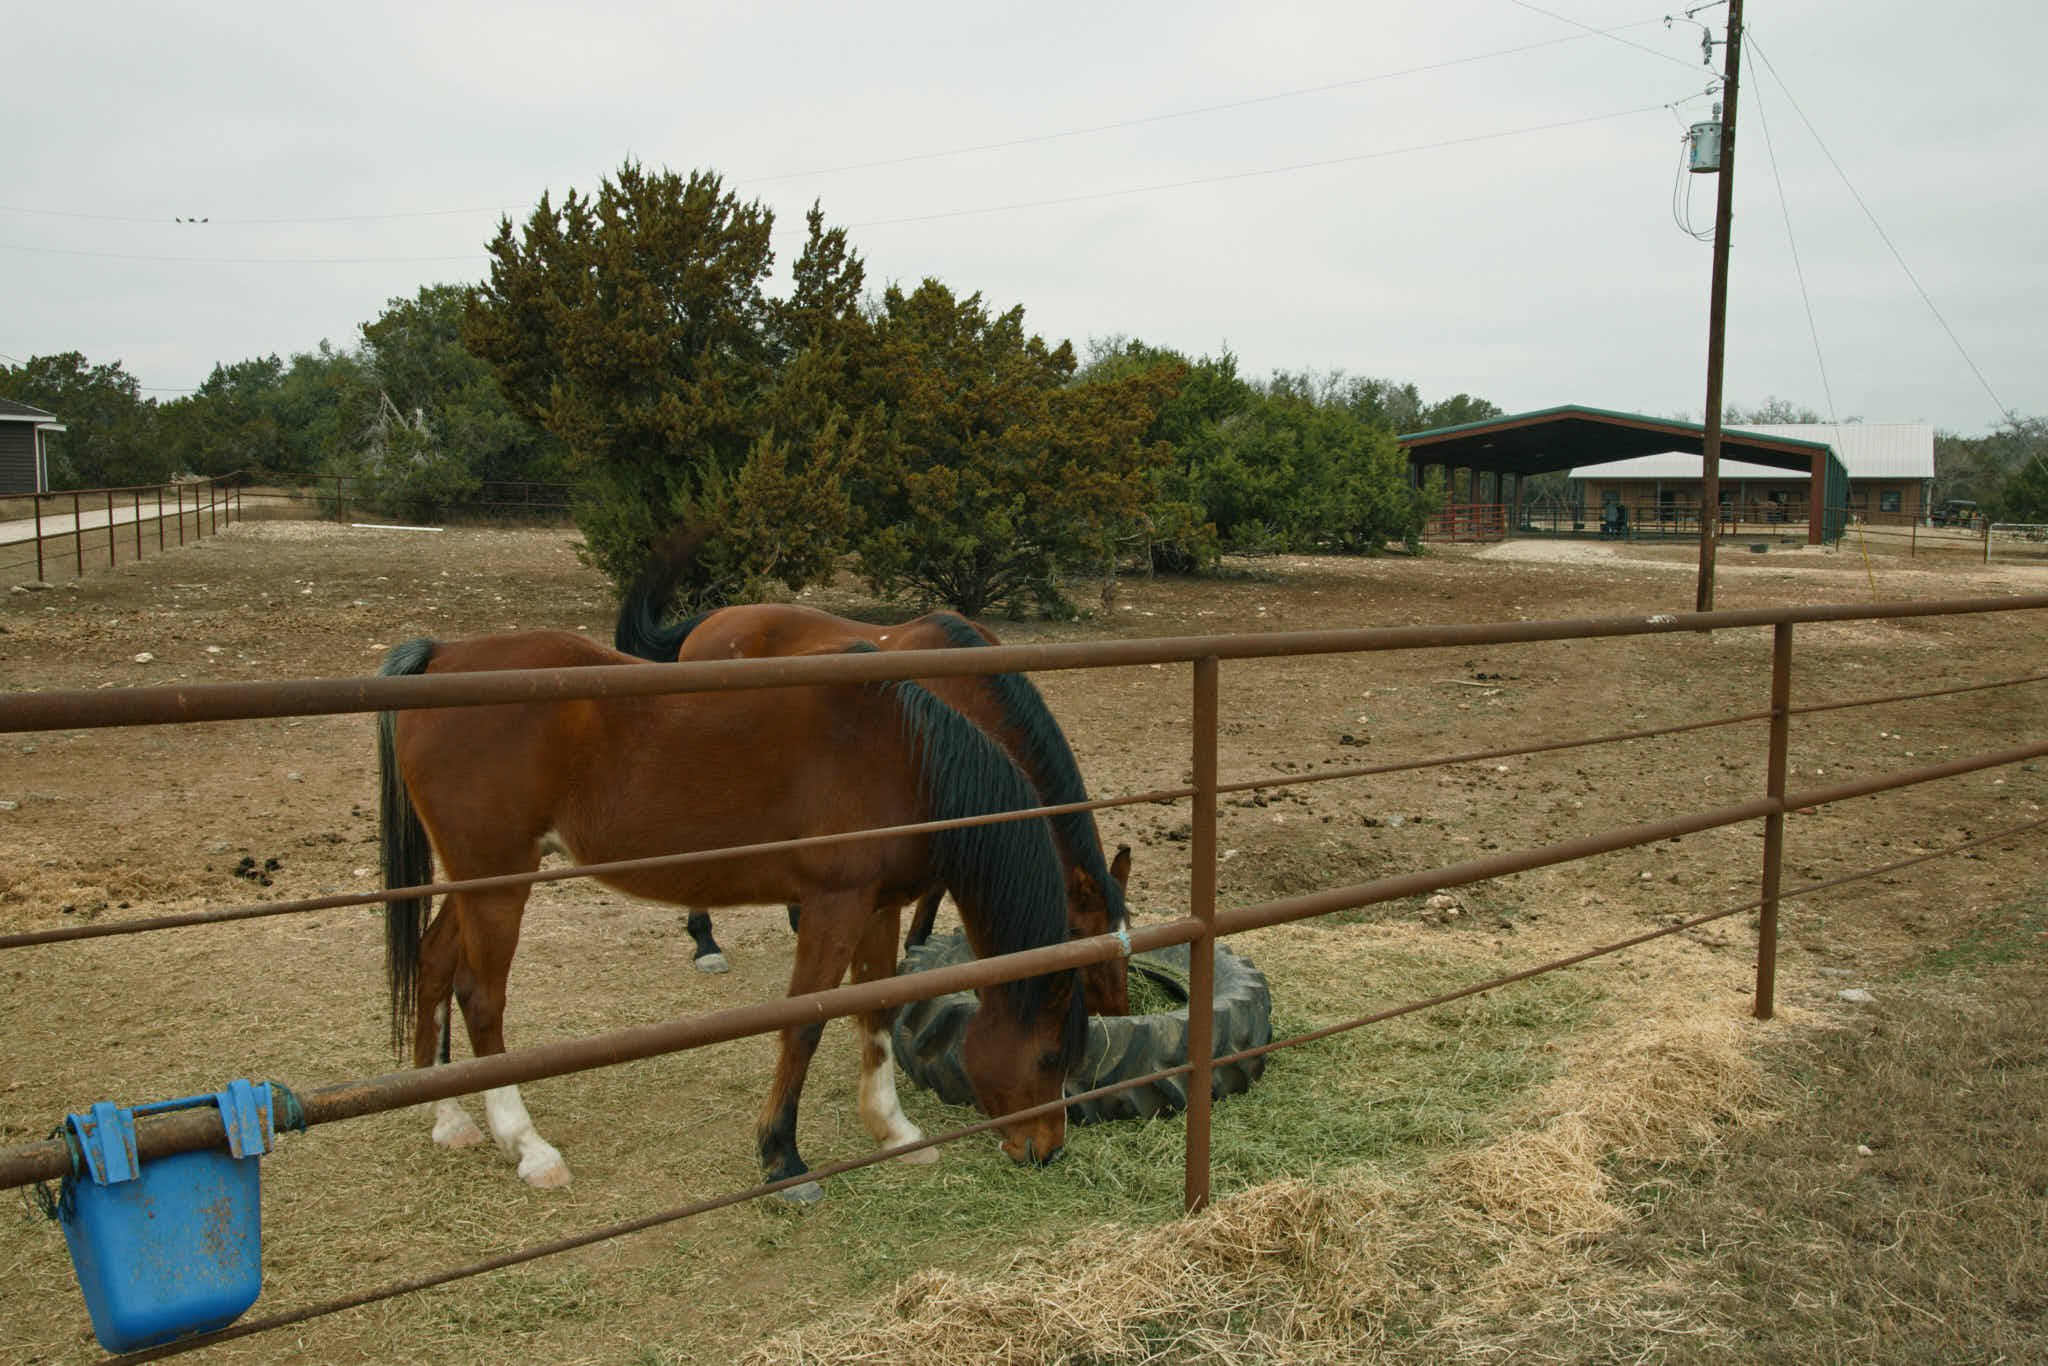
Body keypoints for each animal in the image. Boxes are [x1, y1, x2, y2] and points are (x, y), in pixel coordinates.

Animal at [378, 629, 1087, 1199]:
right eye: (1052, 1055)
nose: (1047, 1150)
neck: (909, 759)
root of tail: (444, 655)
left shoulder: (875, 906)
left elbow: (877, 1009)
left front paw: (893, 1131)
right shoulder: (833, 906)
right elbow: (805, 1023)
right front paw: (783, 1158)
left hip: (478, 884)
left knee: (434, 961)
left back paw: (450, 1119)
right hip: (497, 887)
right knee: (481, 997)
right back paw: (528, 1146)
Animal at [615, 558, 1131, 1016]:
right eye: (1081, 940)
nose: (1115, 1011)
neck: (965, 684)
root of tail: (714, 620)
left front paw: (917, 945)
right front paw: (915, 947)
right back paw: (706, 941)